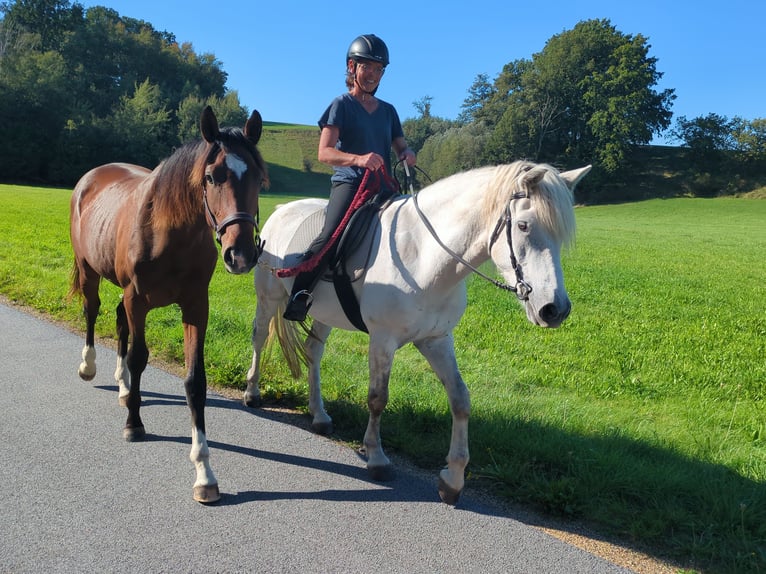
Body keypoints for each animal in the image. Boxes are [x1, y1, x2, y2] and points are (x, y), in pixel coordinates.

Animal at [69, 106, 268, 503]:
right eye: (211, 176)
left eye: (256, 177)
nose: (240, 255)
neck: (168, 230)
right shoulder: (138, 299)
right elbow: (138, 357)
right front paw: (133, 425)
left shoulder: (195, 306)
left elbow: (195, 381)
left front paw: (204, 472)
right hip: (89, 271)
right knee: (92, 311)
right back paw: (90, 366)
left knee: (118, 320)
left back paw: (124, 387)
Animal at [243, 160, 590, 504]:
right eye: (523, 226)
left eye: (560, 235)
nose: (555, 309)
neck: (424, 258)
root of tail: (284, 209)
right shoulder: (382, 340)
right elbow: (377, 398)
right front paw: (377, 458)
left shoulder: (436, 340)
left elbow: (460, 399)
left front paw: (453, 477)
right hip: (267, 297)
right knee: (259, 339)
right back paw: (252, 392)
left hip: (324, 314)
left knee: (313, 352)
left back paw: (319, 415)